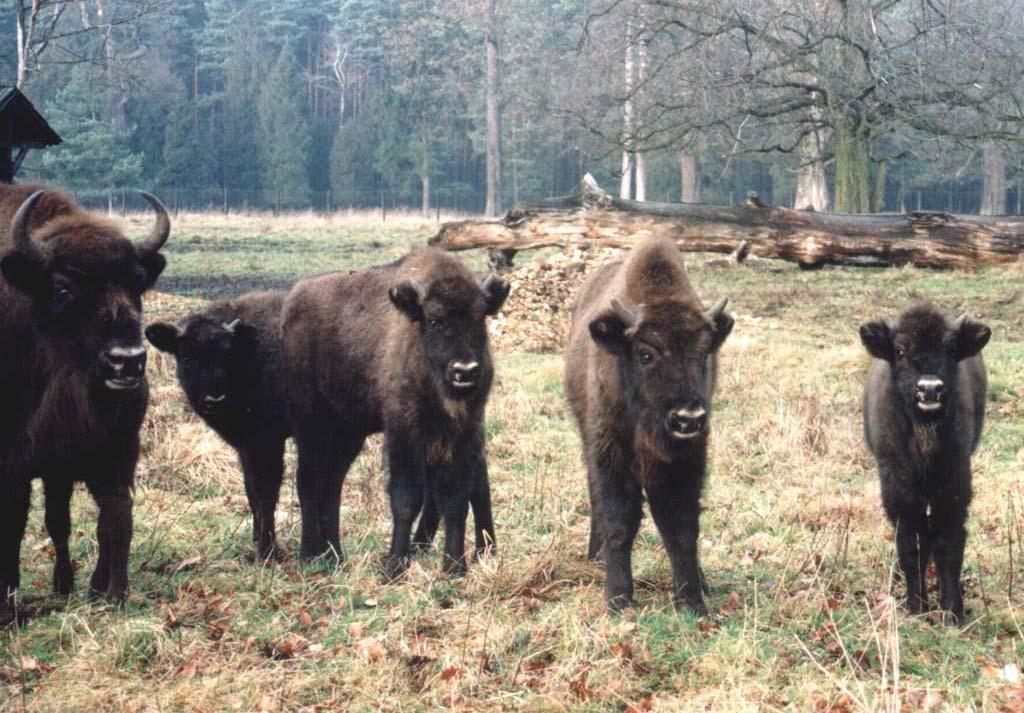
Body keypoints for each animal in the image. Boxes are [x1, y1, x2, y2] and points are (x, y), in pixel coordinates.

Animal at [0, 183, 169, 622]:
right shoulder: (16, 463)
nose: (127, 360)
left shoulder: (115, 449)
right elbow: (15, 525)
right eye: (63, 288)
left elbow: (115, 516)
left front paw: (112, 591)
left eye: (136, 284)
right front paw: (9, 610)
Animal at [144, 292, 290, 561]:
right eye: (186, 356)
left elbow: (266, 494)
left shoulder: (266, 443)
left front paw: (266, 552)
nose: (214, 399)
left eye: (227, 355)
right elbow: (251, 491)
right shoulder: (245, 447)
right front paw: (256, 539)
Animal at [280, 247, 507, 577]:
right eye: (434, 320)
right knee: (309, 479)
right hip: (310, 423)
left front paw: (454, 567)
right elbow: (406, 497)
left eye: (480, 318)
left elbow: (456, 499)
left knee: (332, 483)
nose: (464, 371)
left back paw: (335, 555)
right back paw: (309, 555)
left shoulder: (464, 432)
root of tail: (293, 300)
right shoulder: (403, 431)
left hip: (348, 432)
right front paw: (396, 566)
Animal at [565, 235, 733, 614]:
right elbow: (618, 520)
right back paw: (596, 557)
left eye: (703, 353)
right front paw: (617, 601)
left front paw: (692, 600)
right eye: (645, 354)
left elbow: (682, 526)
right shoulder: (608, 450)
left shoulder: (687, 458)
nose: (688, 418)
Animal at [856, 303, 991, 622]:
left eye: (951, 348)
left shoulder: (954, 484)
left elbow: (948, 542)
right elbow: (912, 544)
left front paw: (953, 612)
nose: (929, 389)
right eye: (900, 350)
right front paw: (917, 608)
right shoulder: (899, 489)